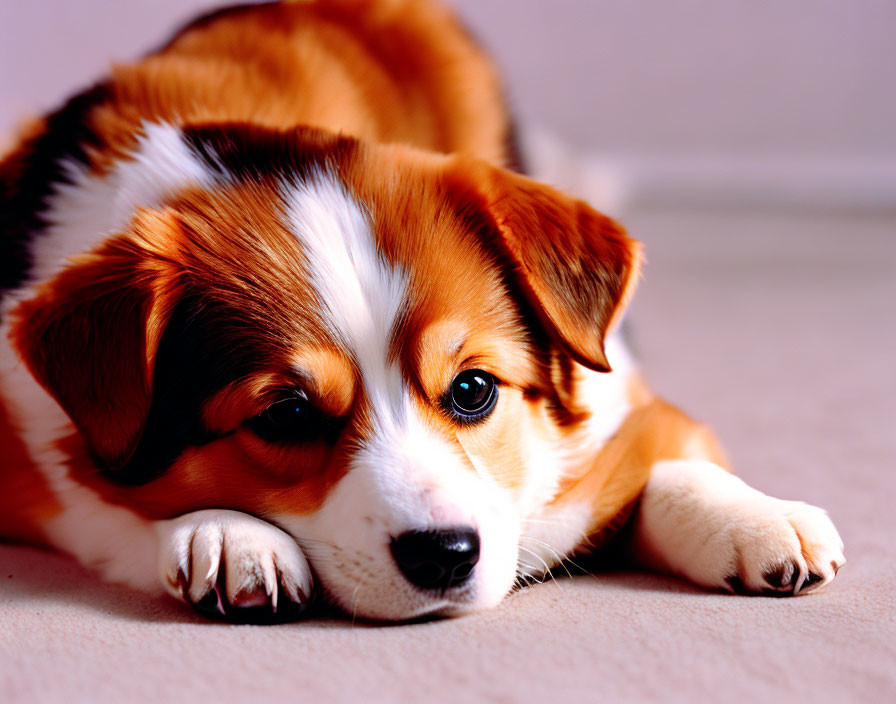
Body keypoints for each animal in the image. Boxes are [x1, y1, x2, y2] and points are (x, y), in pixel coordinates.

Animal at [0, 0, 844, 620]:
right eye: (286, 416)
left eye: (472, 390)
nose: (445, 555)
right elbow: (103, 505)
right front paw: (228, 535)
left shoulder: (609, 387)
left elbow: (661, 452)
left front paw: (755, 519)